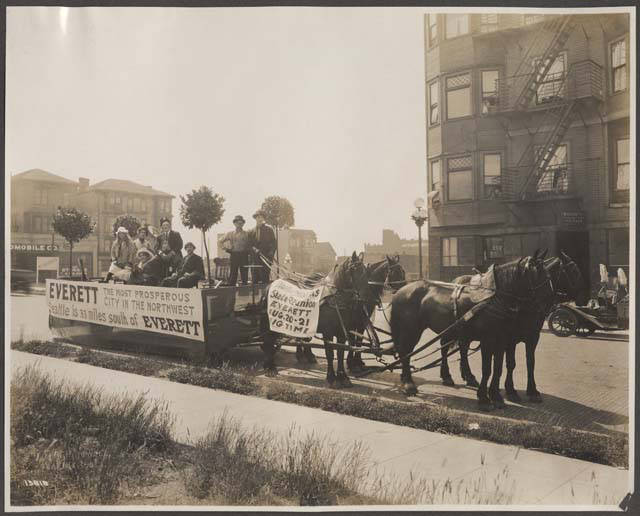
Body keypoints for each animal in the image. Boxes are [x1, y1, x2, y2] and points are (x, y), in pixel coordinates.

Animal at [260, 252, 370, 390]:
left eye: (366, 271)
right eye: (354, 269)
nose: (366, 298)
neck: (334, 299)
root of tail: (270, 284)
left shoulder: (341, 333)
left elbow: (340, 354)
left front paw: (343, 377)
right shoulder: (328, 333)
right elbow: (330, 354)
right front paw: (331, 378)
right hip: (271, 323)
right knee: (269, 341)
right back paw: (270, 367)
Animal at [388, 251, 552, 412]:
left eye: (548, 275)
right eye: (536, 275)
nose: (548, 304)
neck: (493, 299)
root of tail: (400, 291)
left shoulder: (502, 340)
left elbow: (498, 368)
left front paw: (496, 396)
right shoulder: (488, 340)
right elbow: (487, 369)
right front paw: (484, 398)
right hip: (411, 330)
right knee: (406, 352)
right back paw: (409, 383)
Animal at [440, 250, 592, 404]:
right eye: (574, 271)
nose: (585, 298)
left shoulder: (532, 337)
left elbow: (530, 362)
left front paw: (532, 391)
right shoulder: (509, 338)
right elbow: (510, 363)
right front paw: (510, 390)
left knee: (463, 349)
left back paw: (468, 376)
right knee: (446, 346)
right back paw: (447, 376)